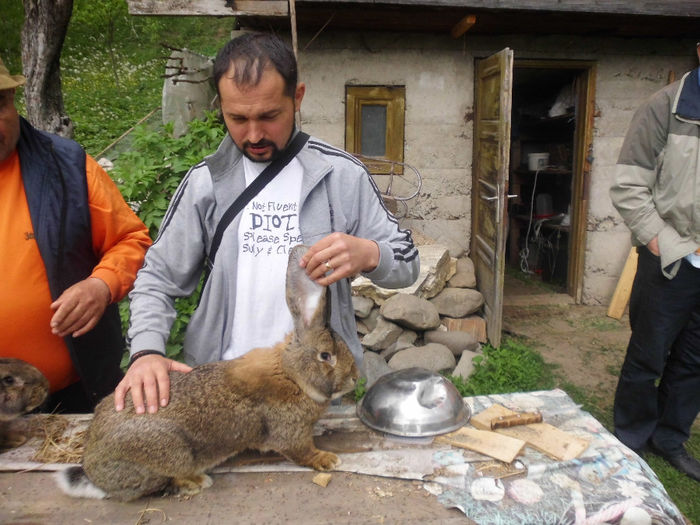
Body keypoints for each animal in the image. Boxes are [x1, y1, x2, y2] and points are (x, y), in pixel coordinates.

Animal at [56, 246, 358, 500]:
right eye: (326, 356)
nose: (354, 377)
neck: (293, 375)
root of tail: (93, 468)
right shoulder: (290, 433)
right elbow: (302, 452)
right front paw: (327, 459)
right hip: (171, 453)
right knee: (159, 483)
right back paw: (197, 482)